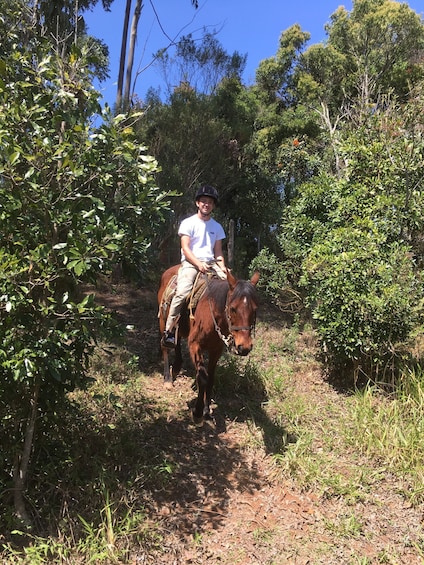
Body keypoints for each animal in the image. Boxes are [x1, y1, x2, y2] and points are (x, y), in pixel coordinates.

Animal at [158, 264, 260, 424]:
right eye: (233, 308)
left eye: (255, 309)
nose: (244, 347)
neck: (213, 317)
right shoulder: (195, 346)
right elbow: (203, 377)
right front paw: (198, 412)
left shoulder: (216, 350)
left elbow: (211, 378)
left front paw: (207, 410)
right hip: (163, 321)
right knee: (165, 347)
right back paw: (168, 379)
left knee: (177, 340)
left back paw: (177, 365)